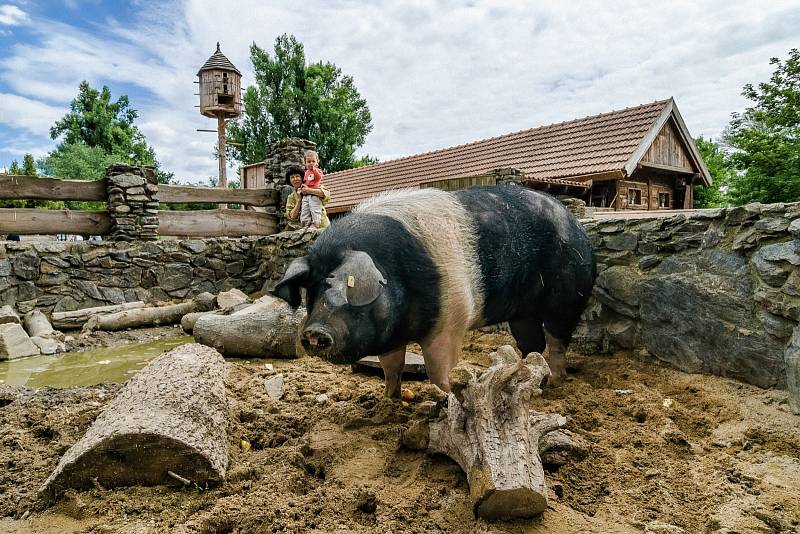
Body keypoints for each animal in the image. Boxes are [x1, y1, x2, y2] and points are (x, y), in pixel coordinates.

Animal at [274, 186, 592, 400]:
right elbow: (392, 367)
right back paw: (524, 372)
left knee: (557, 340)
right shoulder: (392, 335)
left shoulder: (451, 321)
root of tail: (576, 225)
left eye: (349, 290)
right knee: (532, 343)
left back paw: (553, 383)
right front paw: (388, 400)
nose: (315, 331)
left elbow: (438, 371)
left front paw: (450, 398)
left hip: (567, 299)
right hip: (522, 313)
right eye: (312, 291)